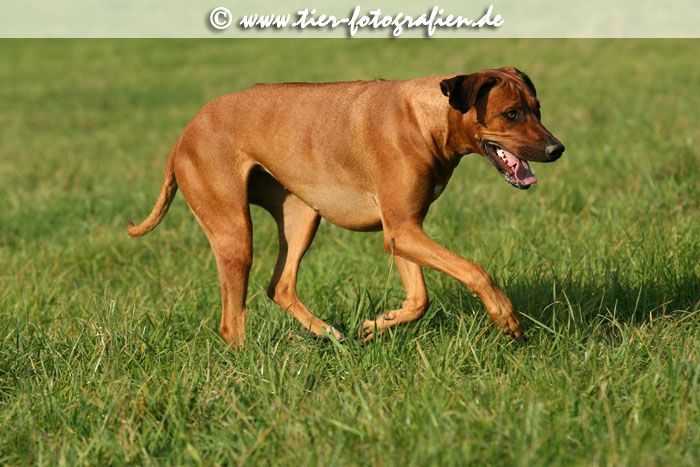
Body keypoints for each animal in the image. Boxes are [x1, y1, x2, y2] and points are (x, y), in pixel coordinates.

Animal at [126, 68, 564, 348]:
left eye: (538, 108)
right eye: (511, 114)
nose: (557, 149)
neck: (427, 118)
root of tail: (182, 135)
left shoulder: (402, 230)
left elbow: (419, 300)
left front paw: (377, 324)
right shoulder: (403, 231)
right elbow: (476, 271)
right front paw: (507, 318)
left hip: (302, 216)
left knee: (280, 285)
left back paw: (327, 334)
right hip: (235, 233)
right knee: (232, 324)